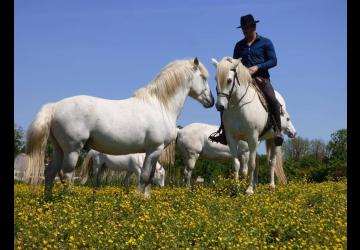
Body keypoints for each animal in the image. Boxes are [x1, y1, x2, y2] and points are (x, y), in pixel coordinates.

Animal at [24, 57, 214, 198]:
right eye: (204, 77)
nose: (211, 101)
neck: (160, 105)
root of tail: (55, 106)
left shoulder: (153, 151)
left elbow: (149, 178)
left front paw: (147, 200)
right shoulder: (154, 149)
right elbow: (145, 177)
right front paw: (139, 200)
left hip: (59, 149)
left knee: (50, 173)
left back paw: (48, 201)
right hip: (72, 149)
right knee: (66, 175)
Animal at [211, 57, 296, 195]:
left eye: (229, 80)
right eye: (215, 79)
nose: (220, 106)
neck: (239, 106)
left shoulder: (252, 137)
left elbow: (251, 163)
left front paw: (249, 189)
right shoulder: (232, 138)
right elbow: (237, 163)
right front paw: (236, 188)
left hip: (273, 139)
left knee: (271, 162)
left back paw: (271, 186)